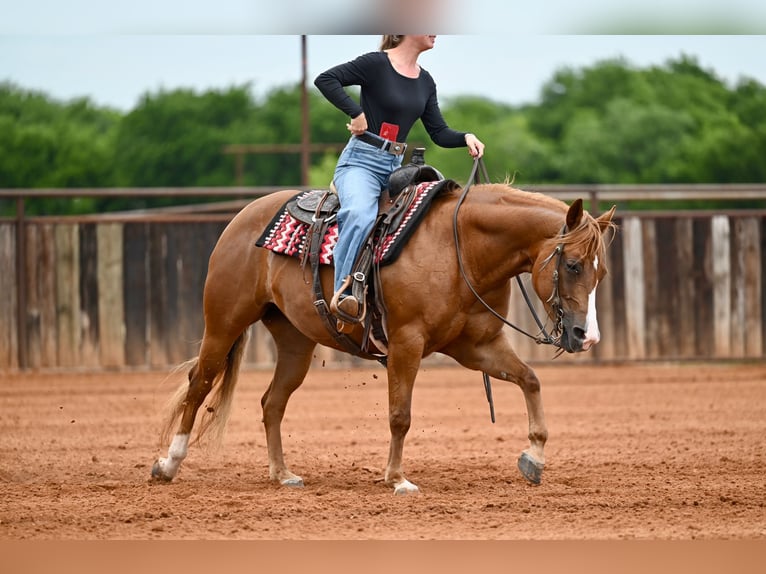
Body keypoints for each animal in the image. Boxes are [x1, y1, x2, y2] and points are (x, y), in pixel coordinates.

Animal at [151, 180, 616, 494]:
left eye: (602, 271)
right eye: (573, 265)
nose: (586, 336)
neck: (460, 248)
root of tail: (241, 219)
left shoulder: (477, 346)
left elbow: (529, 379)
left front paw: (534, 457)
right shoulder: (407, 343)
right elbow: (400, 415)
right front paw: (397, 478)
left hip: (295, 342)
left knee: (272, 402)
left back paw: (282, 474)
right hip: (223, 323)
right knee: (199, 385)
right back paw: (168, 463)